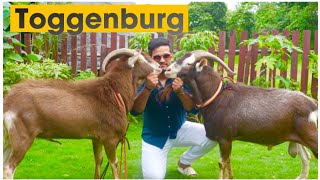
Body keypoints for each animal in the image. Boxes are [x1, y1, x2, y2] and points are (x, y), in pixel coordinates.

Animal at [2, 48, 161, 179]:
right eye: (144, 58)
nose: (160, 67)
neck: (114, 92)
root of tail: (8, 102)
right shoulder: (110, 138)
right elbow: (114, 163)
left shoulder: (97, 138)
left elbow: (98, 161)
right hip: (22, 137)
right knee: (9, 168)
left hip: (8, 138)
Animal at [165, 50, 318, 178]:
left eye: (189, 63)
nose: (167, 70)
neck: (217, 96)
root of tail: (313, 103)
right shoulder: (228, 140)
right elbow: (228, 161)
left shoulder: (224, 138)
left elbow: (222, 163)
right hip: (298, 138)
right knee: (306, 157)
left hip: (312, 137)